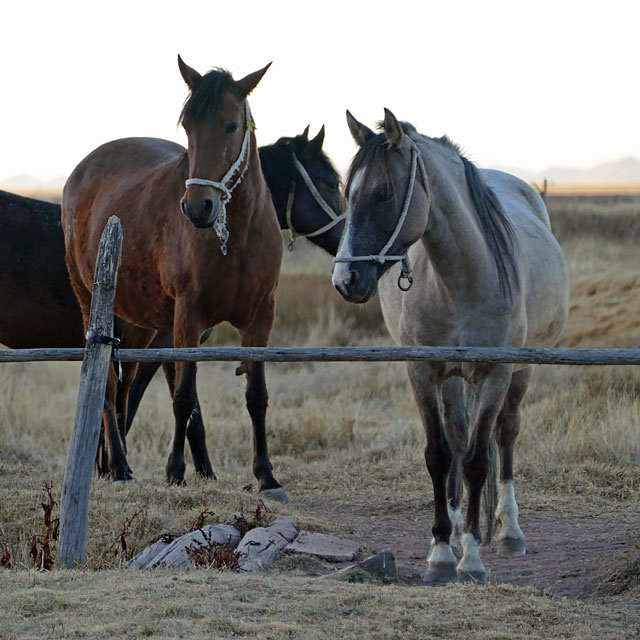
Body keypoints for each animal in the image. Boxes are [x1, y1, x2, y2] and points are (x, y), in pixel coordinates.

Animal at [63, 58, 288, 500]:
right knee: (109, 389)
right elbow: (184, 396)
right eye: (188, 126)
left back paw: (112, 464)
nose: (198, 207)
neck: (237, 236)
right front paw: (176, 470)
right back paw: (120, 467)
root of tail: (80, 173)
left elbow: (256, 395)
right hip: (89, 302)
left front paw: (266, 475)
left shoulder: (261, 316)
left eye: (231, 125)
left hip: (138, 322)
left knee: (125, 385)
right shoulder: (189, 316)